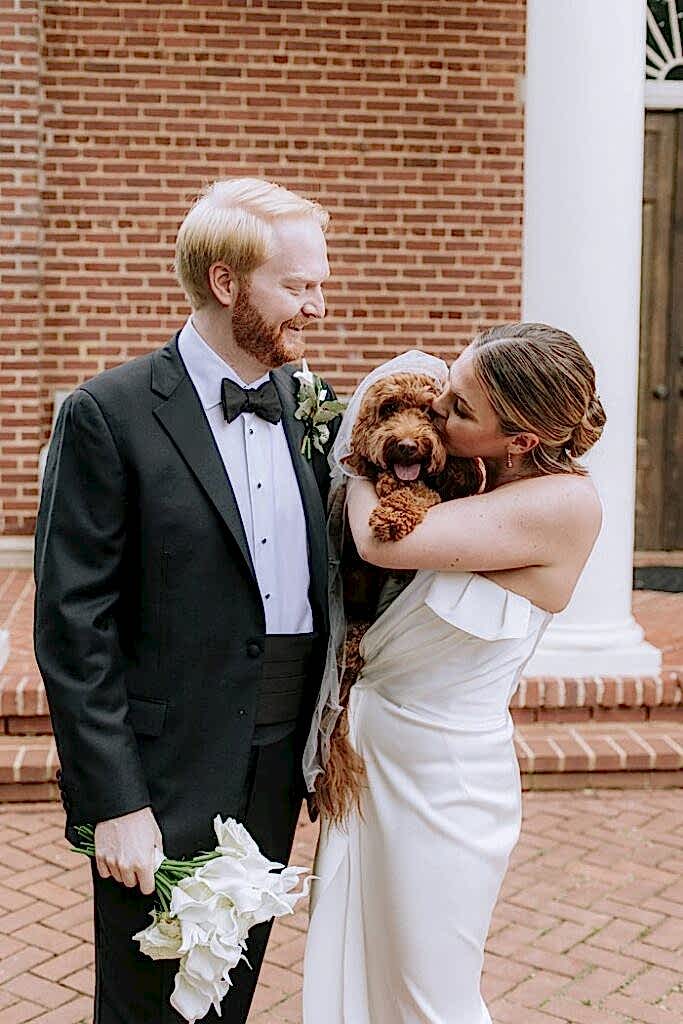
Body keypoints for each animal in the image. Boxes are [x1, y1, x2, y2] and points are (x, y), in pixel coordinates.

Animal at [317, 368, 485, 823]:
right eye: (388, 409)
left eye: (429, 412)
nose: (408, 445)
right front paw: (393, 499)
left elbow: (429, 491)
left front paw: (399, 506)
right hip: (353, 636)